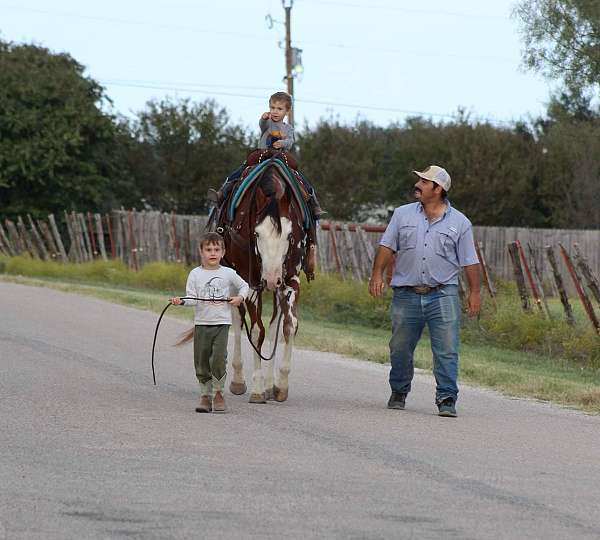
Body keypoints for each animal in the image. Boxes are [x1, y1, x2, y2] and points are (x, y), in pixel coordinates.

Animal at [214, 154, 312, 402]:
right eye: (257, 234)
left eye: (289, 234)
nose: (270, 278)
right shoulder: (251, 284)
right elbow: (257, 331)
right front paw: (257, 388)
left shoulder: (290, 281)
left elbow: (289, 325)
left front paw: (280, 385)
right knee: (238, 321)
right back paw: (239, 380)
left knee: (275, 321)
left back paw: (269, 383)